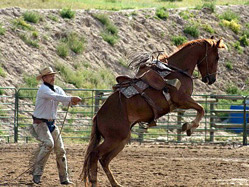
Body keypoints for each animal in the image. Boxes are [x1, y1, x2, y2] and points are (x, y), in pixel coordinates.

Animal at [81, 38, 226, 187]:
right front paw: (189, 127)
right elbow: (201, 109)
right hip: (114, 139)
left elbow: (200, 109)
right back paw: (95, 182)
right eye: (217, 57)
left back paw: (116, 183)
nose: (212, 79)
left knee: (104, 159)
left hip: (121, 139)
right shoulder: (182, 99)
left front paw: (188, 126)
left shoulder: (181, 103)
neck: (176, 70)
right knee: (95, 155)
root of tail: (97, 116)